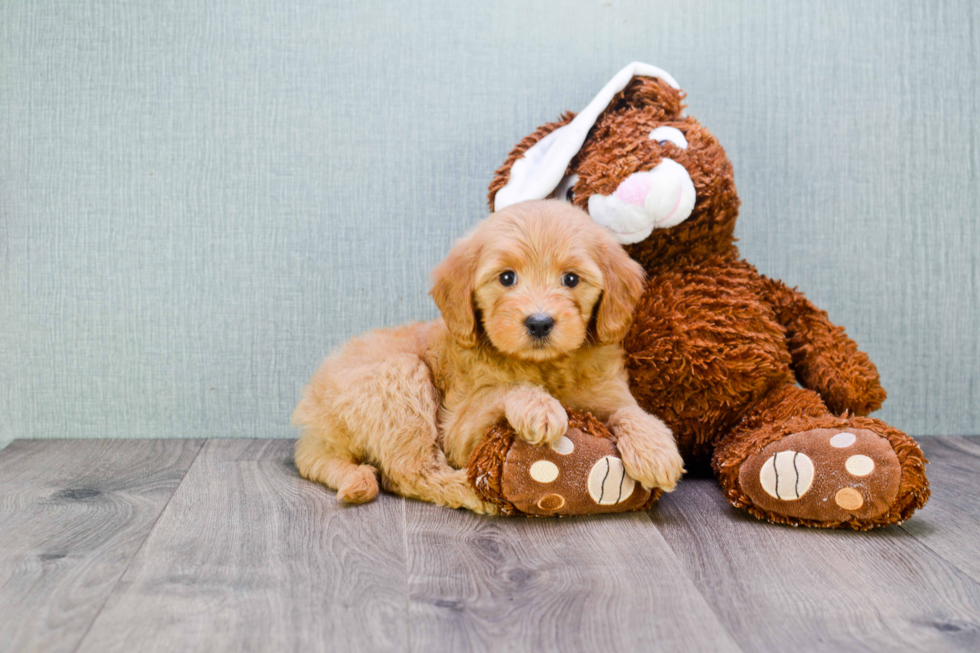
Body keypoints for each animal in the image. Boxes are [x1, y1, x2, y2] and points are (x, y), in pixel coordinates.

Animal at [294, 197, 684, 510]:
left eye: (571, 279)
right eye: (507, 278)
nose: (539, 323)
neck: (546, 367)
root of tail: (313, 423)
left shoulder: (609, 393)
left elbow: (632, 412)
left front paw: (656, 449)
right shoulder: (459, 430)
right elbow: (506, 389)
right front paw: (540, 407)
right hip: (400, 376)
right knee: (408, 472)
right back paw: (476, 493)